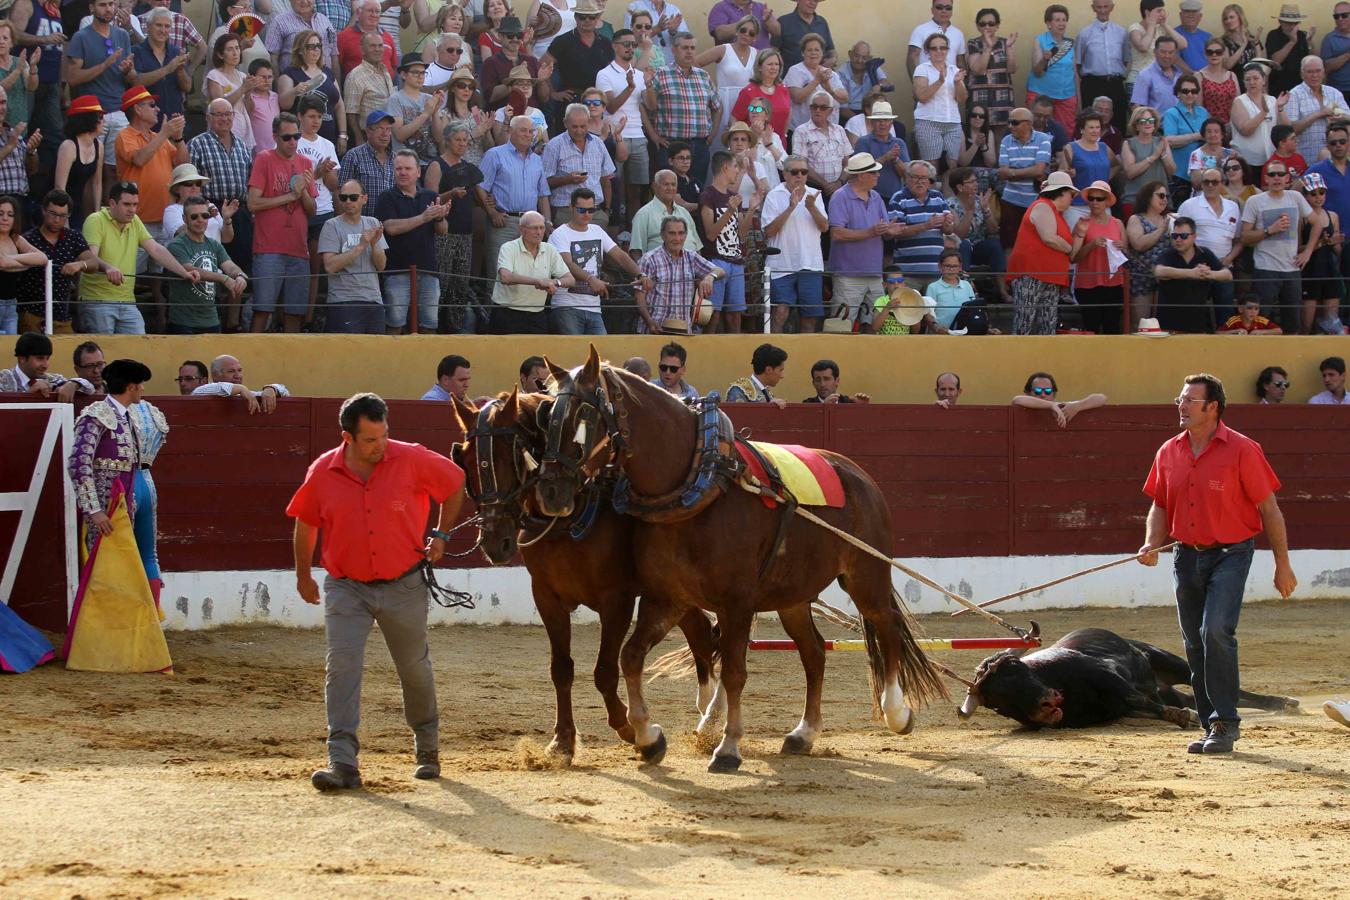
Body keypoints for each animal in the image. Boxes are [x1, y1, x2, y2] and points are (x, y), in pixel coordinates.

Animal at [450, 391, 729, 766]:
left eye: (509, 456)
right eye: (465, 461)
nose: (495, 542)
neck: (572, 515)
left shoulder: (616, 601)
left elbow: (604, 671)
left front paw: (630, 728)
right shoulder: (547, 597)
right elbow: (561, 669)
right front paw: (562, 741)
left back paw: (712, 719)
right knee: (701, 634)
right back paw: (706, 721)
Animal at [531, 348, 945, 771]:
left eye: (584, 414)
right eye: (546, 416)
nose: (550, 492)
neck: (701, 481)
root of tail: (858, 474)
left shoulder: (737, 602)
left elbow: (733, 672)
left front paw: (728, 747)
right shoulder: (667, 597)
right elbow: (631, 657)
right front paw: (648, 737)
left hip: (866, 574)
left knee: (886, 626)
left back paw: (896, 712)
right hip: (793, 596)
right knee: (814, 653)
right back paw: (804, 733)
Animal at [961, 626, 1296, 734]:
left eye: (1017, 670)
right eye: (998, 700)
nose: (1046, 705)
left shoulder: (1106, 674)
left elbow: (1136, 696)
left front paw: (1182, 717)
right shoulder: (1120, 709)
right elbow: (1142, 706)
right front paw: (1179, 716)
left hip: (1165, 659)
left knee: (1219, 685)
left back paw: (1283, 702)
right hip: (1168, 687)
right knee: (1188, 695)